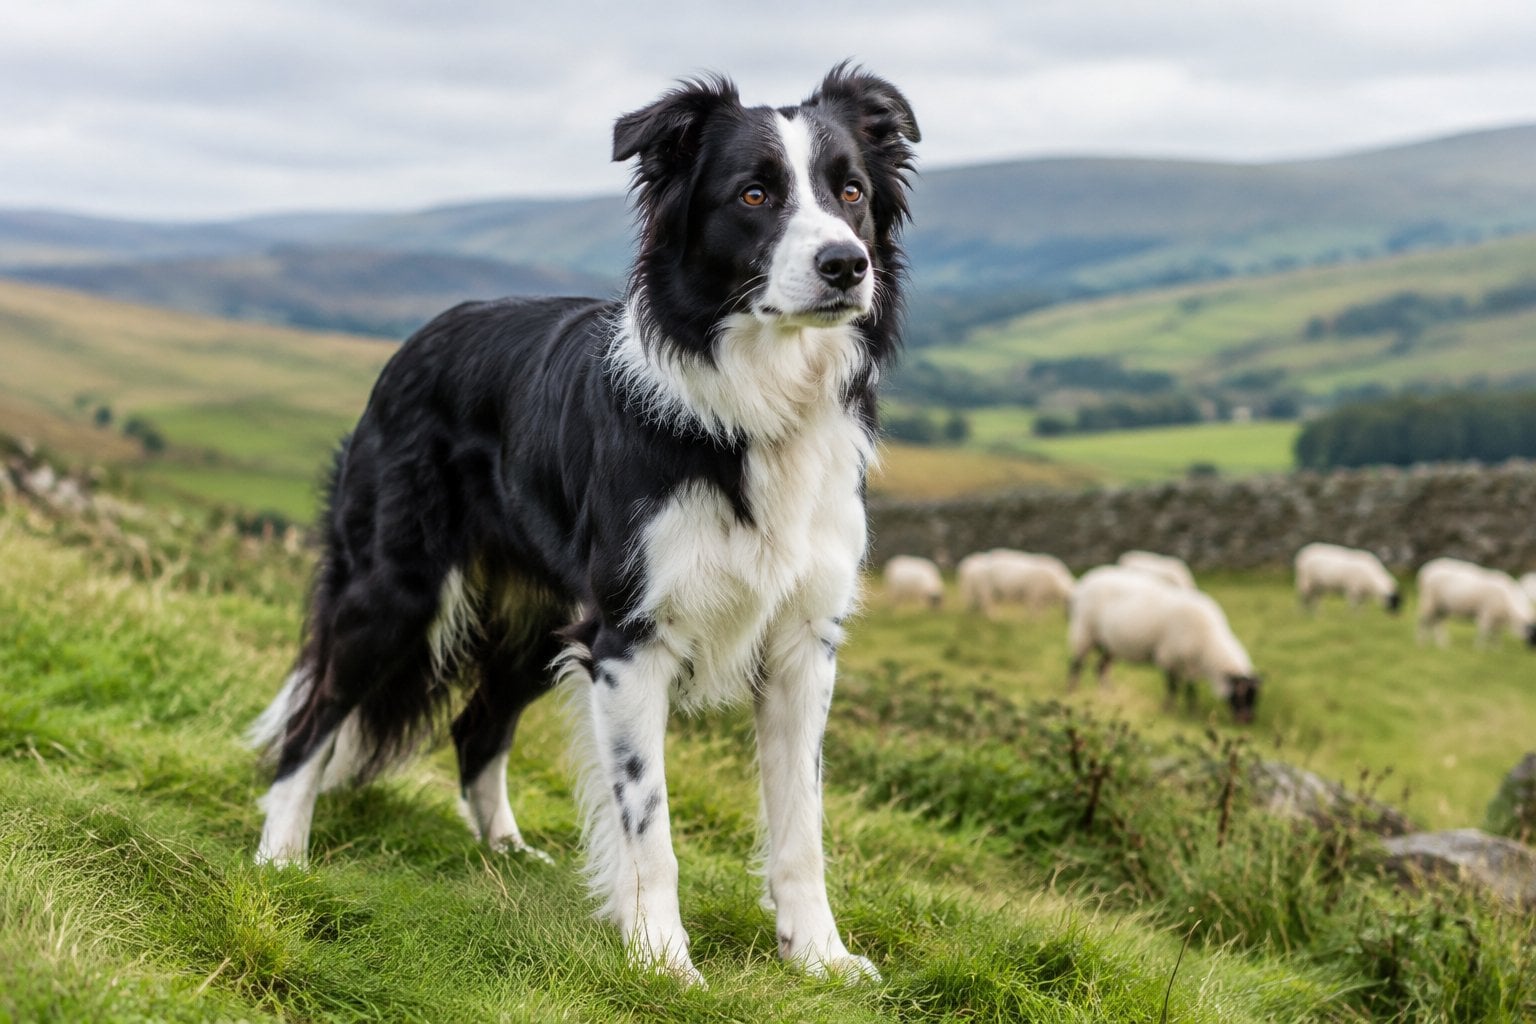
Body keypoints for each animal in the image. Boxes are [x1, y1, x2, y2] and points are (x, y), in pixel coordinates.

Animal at [1067, 565, 1260, 722]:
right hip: (1084, 631)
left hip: (1108, 643)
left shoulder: (1190, 665)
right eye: (1241, 696)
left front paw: (1192, 712)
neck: (1208, 644)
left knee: (1101, 668)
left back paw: (1107, 694)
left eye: (1255, 696)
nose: (1247, 720)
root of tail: (1085, 582)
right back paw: (1073, 691)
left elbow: (1190, 690)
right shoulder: (1169, 657)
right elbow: (1172, 687)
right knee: (1076, 664)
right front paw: (1169, 711)